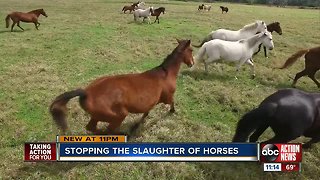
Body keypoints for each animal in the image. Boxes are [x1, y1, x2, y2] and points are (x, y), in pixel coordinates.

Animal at [49, 39, 194, 135]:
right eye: (191, 50)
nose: (192, 63)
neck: (166, 73)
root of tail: (86, 93)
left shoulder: (151, 102)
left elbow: (146, 112)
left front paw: (137, 125)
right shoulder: (167, 97)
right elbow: (172, 102)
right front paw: (172, 111)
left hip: (97, 116)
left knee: (91, 128)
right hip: (118, 116)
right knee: (108, 129)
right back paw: (121, 134)